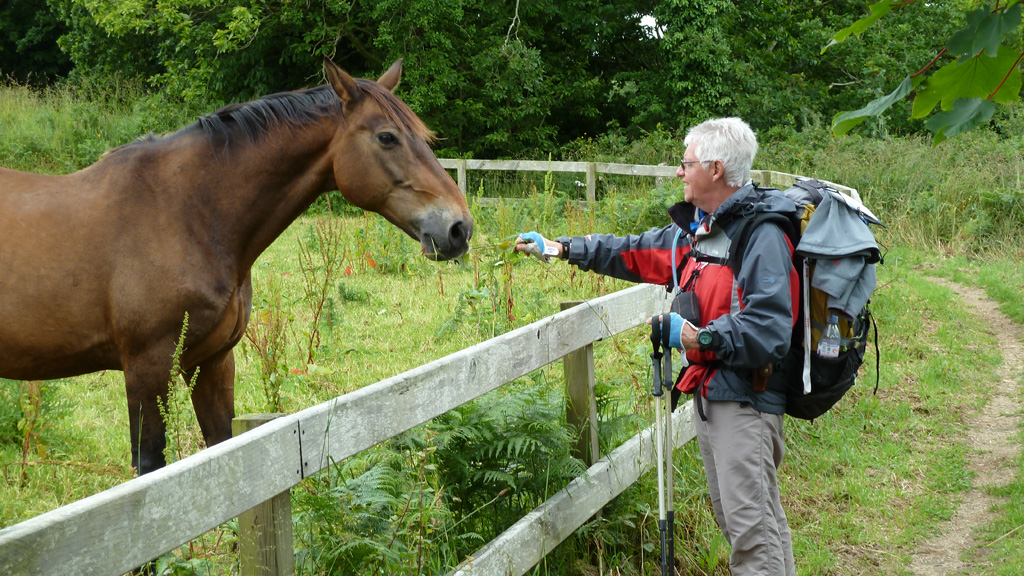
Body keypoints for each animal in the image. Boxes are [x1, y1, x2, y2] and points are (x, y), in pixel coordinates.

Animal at [0, 58, 471, 473]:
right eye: (388, 137)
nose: (459, 228)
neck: (185, 213)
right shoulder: (146, 369)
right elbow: (150, 468)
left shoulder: (212, 362)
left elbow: (224, 452)